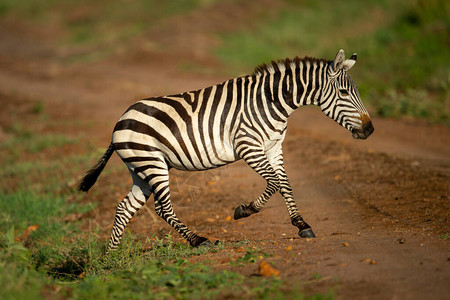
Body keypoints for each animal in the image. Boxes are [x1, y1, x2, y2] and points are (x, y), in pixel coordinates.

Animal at [77, 49, 372, 251]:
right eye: (344, 93)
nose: (369, 130)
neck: (272, 102)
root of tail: (121, 119)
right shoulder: (248, 146)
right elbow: (274, 184)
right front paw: (244, 210)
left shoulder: (274, 147)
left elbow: (285, 184)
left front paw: (302, 225)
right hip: (152, 164)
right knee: (162, 208)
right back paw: (198, 240)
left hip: (140, 168)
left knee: (124, 208)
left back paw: (112, 258)